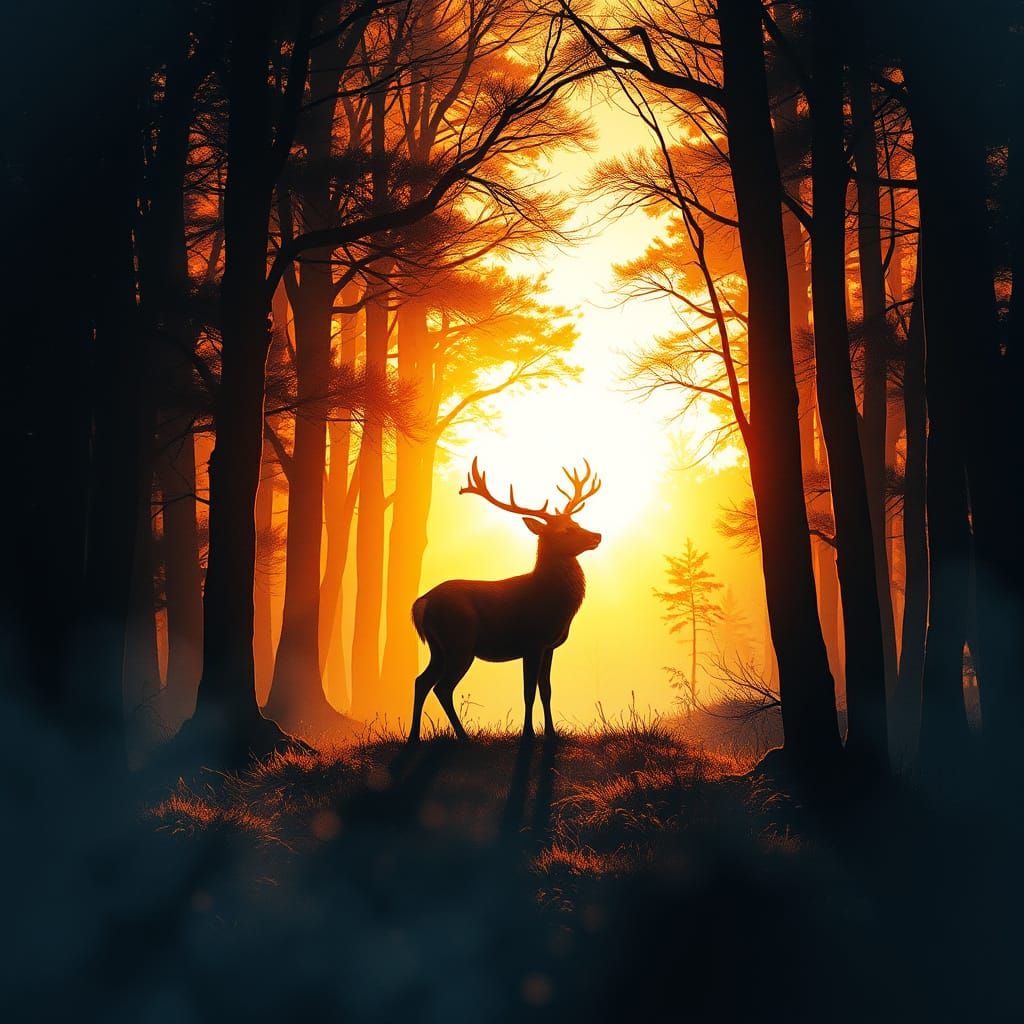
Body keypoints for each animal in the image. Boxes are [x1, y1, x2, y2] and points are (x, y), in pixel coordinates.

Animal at [407, 457, 602, 743]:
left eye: (576, 522)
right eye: (566, 530)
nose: (597, 535)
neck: (553, 602)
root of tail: (422, 603)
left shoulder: (549, 646)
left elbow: (546, 689)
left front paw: (551, 734)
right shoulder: (532, 642)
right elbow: (528, 691)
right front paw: (528, 734)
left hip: (438, 647)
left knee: (421, 681)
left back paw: (413, 738)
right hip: (459, 642)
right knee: (442, 687)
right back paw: (463, 737)